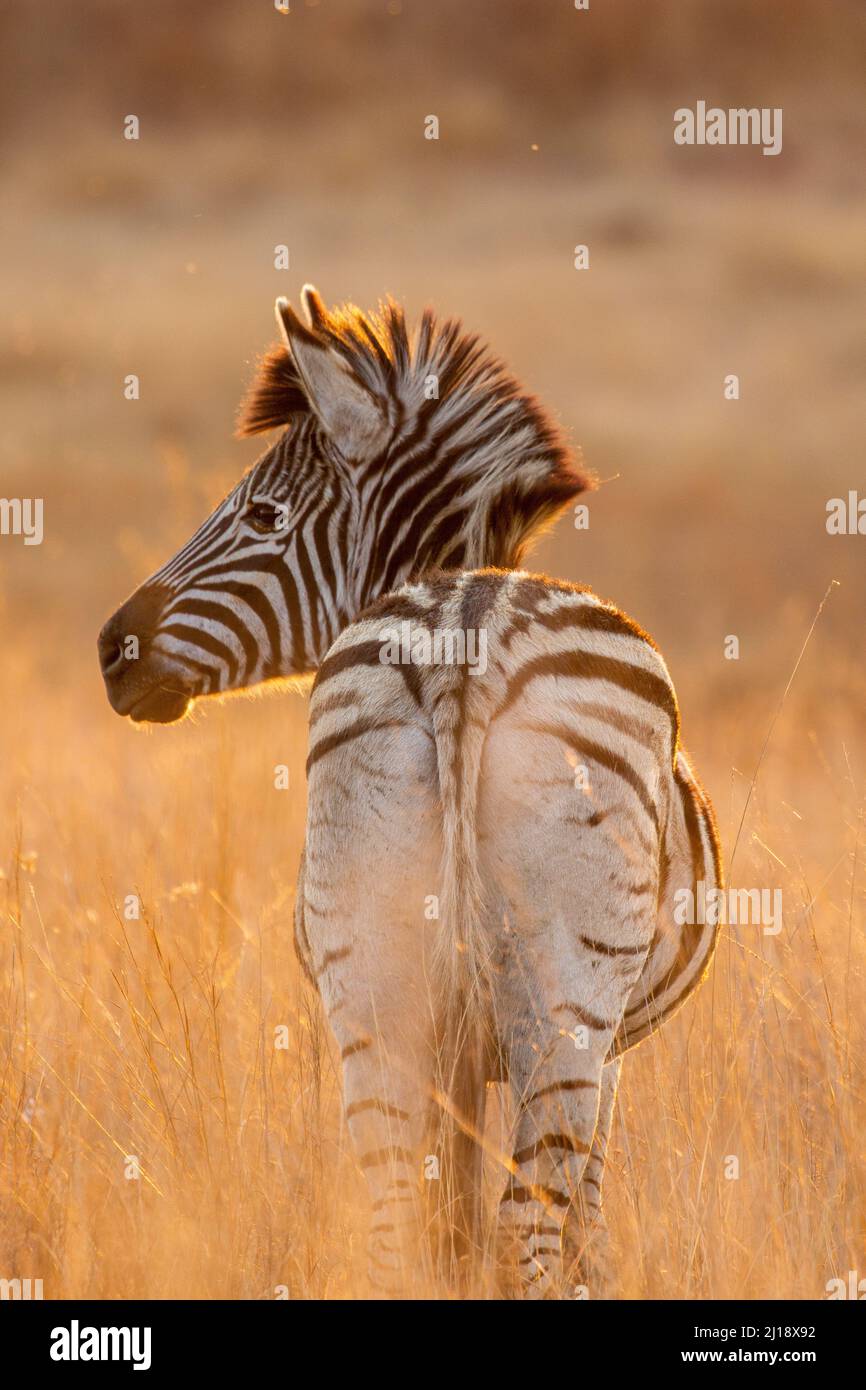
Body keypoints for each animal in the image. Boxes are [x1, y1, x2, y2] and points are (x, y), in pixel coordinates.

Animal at [99, 285, 722, 1298]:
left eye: (262, 515)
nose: (110, 651)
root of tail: (468, 629)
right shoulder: (608, 1052)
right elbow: (576, 1223)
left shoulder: (460, 1053)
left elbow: (455, 1222)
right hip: (568, 998)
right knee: (524, 1229)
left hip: (373, 984)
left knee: (398, 1225)